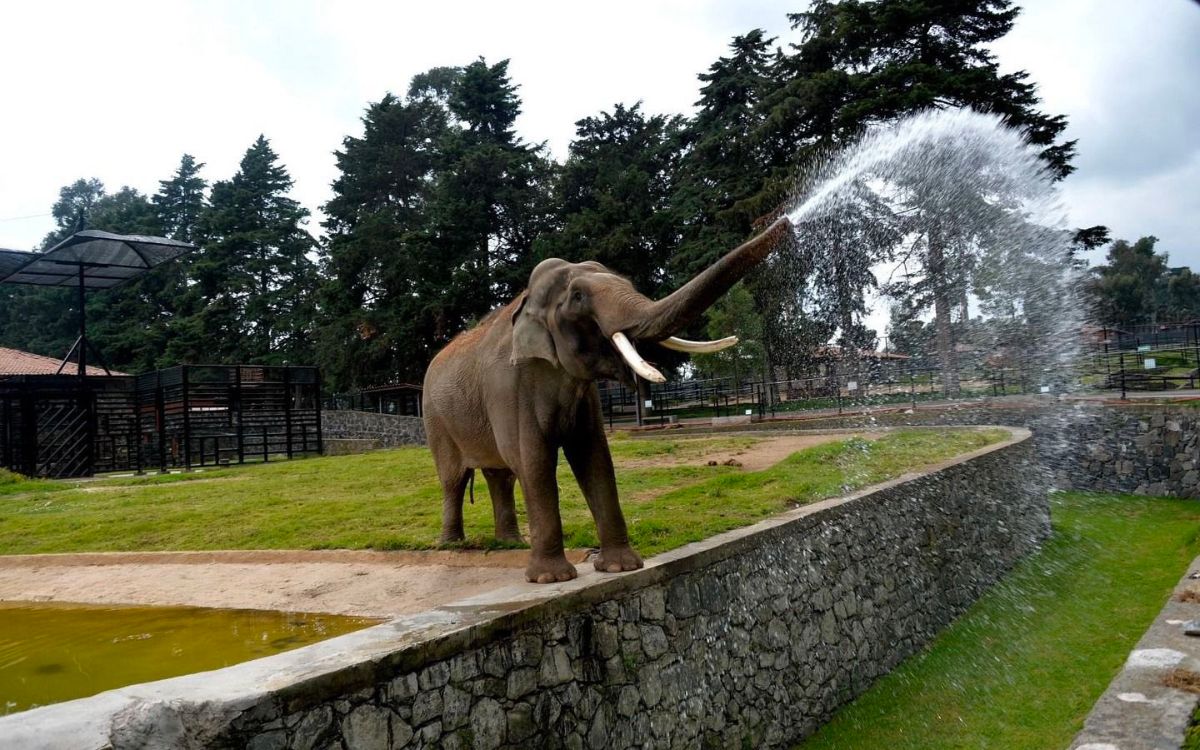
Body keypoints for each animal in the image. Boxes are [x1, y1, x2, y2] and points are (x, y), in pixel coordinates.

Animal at [422, 213, 796, 583]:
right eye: (577, 297)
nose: (786, 221)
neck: (526, 299)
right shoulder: (508, 388)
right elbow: (533, 460)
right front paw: (551, 579)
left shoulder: (584, 396)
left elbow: (594, 457)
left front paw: (620, 567)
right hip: (435, 421)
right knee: (454, 479)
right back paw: (452, 545)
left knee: (500, 475)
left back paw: (511, 544)